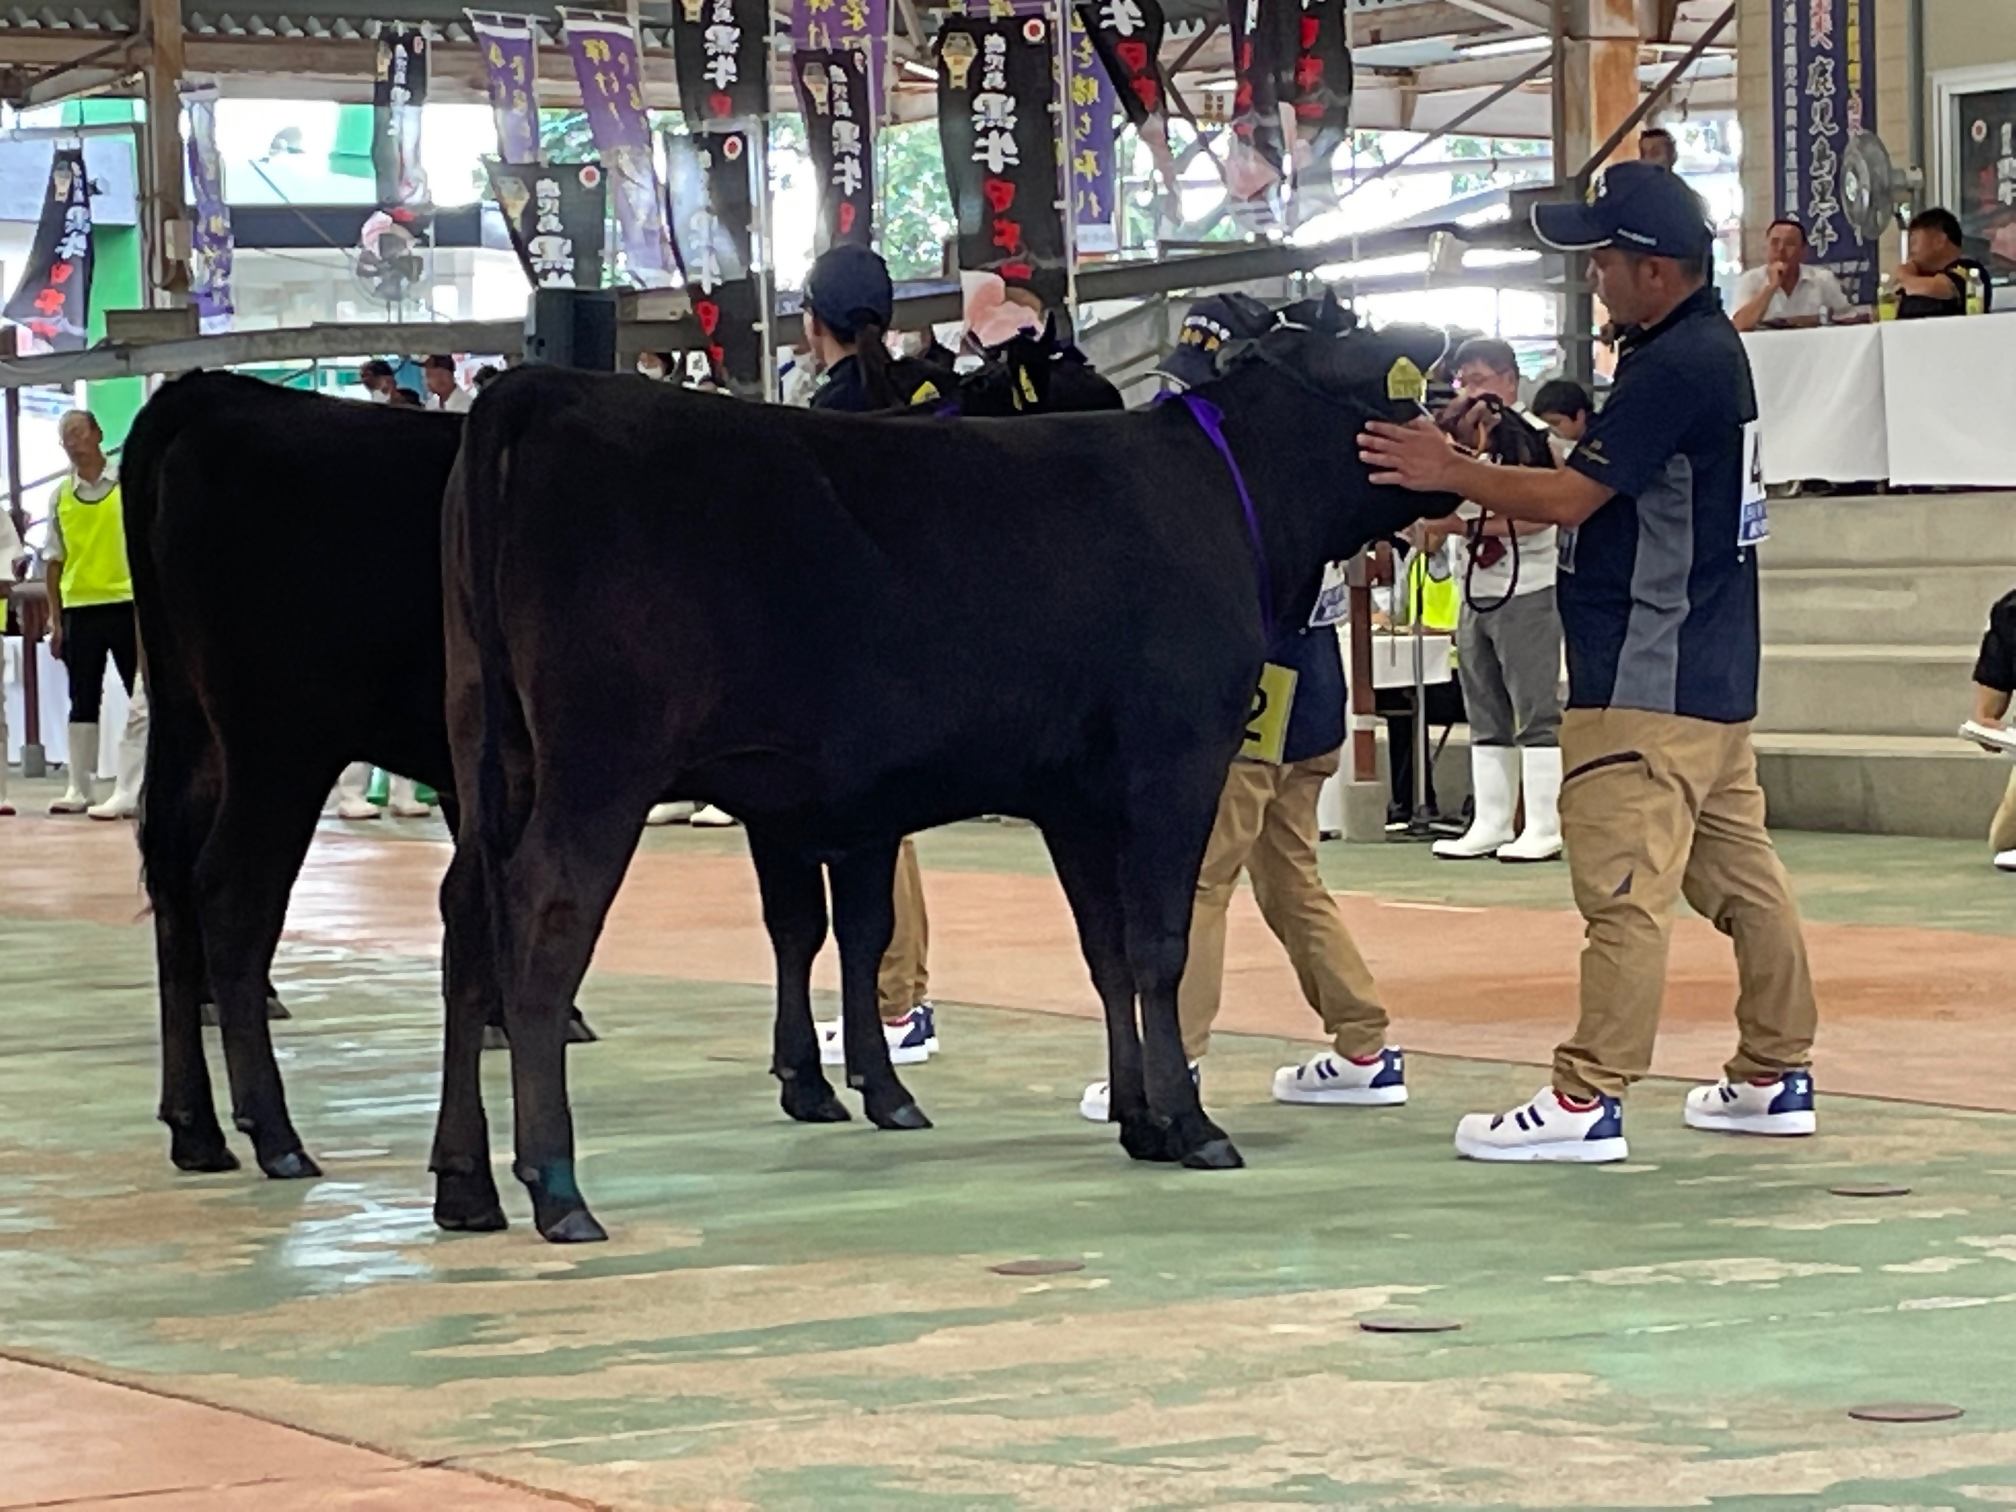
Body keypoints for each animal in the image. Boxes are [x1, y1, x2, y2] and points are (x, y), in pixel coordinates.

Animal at [441, 320, 1459, 1241]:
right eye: (1401, 380)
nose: (1471, 438)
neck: (1227, 491)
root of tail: (542, 389)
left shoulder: (1078, 800)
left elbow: (1104, 954)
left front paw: (1137, 1119)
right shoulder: (1172, 765)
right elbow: (1158, 948)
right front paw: (1191, 1123)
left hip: (490, 757)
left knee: (467, 913)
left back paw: (466, 1184)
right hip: (599, 765)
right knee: (544, 915)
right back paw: (555, 1185)